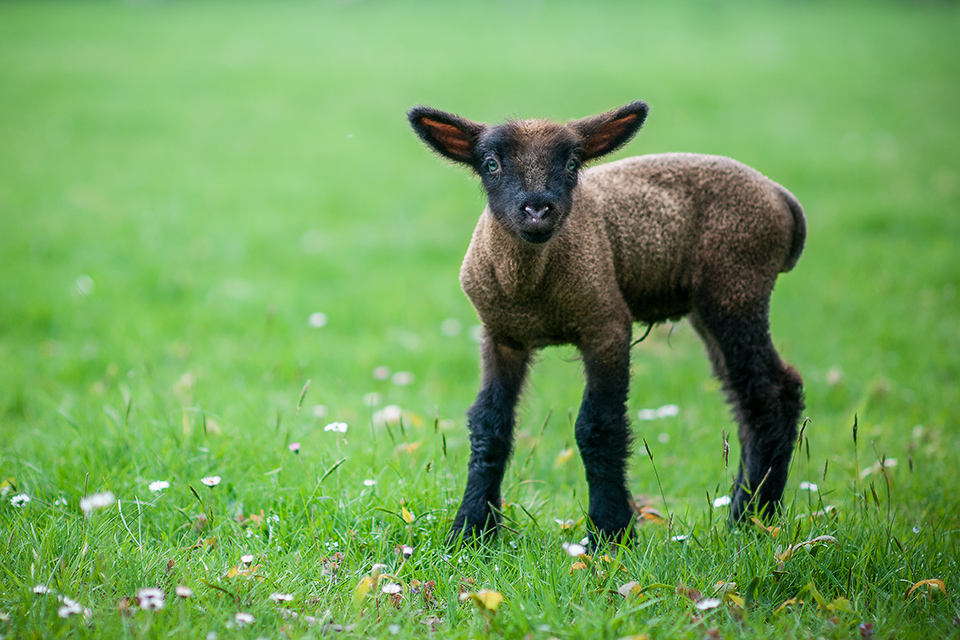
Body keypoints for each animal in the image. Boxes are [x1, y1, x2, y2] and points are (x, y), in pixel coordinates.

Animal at [408, 101, 808, 544]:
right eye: (491, 163)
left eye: (572, 164)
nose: (537, 210)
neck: (531, 289)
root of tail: (781, 197)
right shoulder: (501, 337)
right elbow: (489, 426)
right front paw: (471, 529)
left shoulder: (606, 325)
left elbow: (598, 426)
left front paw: (611, 531)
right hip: (711, 303)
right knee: (746, 401)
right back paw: (746, 512)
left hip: (737, 287)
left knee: (772, 394)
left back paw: (753, 516)